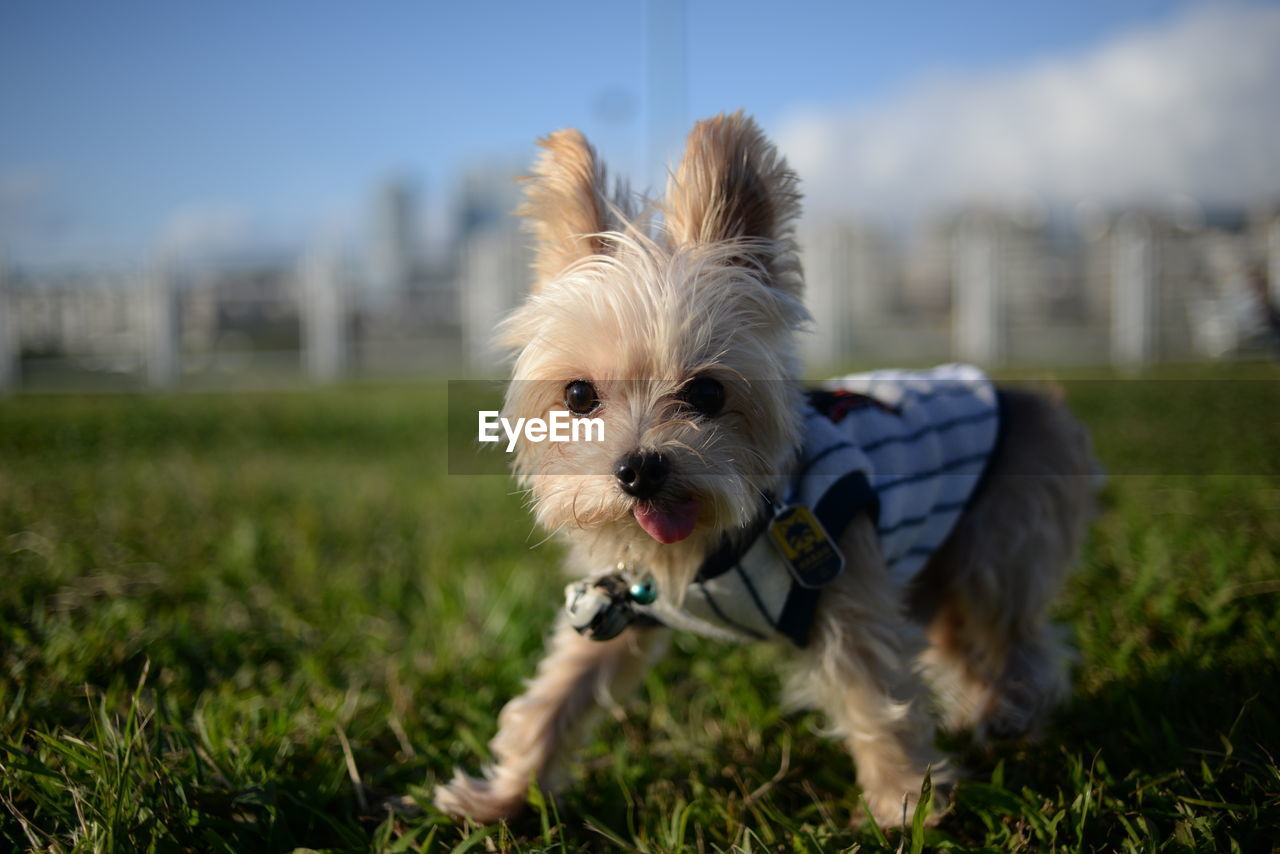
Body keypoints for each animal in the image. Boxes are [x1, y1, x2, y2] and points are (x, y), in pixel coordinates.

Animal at [435, 110, 1095, 824]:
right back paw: (984, 712)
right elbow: (555, 698)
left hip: (992, 544)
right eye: (579, 395)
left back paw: (1009, 714)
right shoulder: (621, 609)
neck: (704, 554)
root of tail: (1034, 396)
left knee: (1018, 638)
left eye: (707, 393)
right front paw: (499, 799)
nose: (638, 469)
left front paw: (904, 806)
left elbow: (877, 702)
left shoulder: (848, 592)